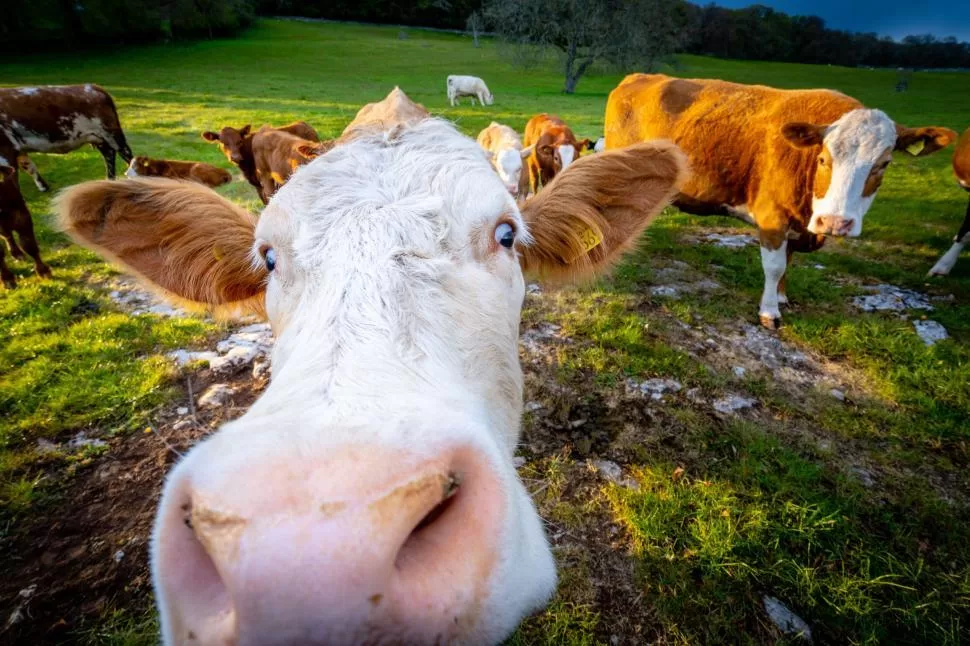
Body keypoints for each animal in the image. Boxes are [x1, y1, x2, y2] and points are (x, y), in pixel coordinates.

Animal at [0, 83, 132, 192]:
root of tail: (94, 87)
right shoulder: (18, 149)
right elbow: (29, 166)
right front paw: (43, 187)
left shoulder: (6, 149)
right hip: (100, 139)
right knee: (109, 155)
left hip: (111, 135)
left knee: (127, 156)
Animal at [604, 74, 952, 330]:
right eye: (824, 159)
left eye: (883, 164)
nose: (835, 222)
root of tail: (638, 77)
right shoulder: (773, 217)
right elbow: (774, 266)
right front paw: (770, 311)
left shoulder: (798, 224)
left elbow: (789, 260)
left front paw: (782, 296)